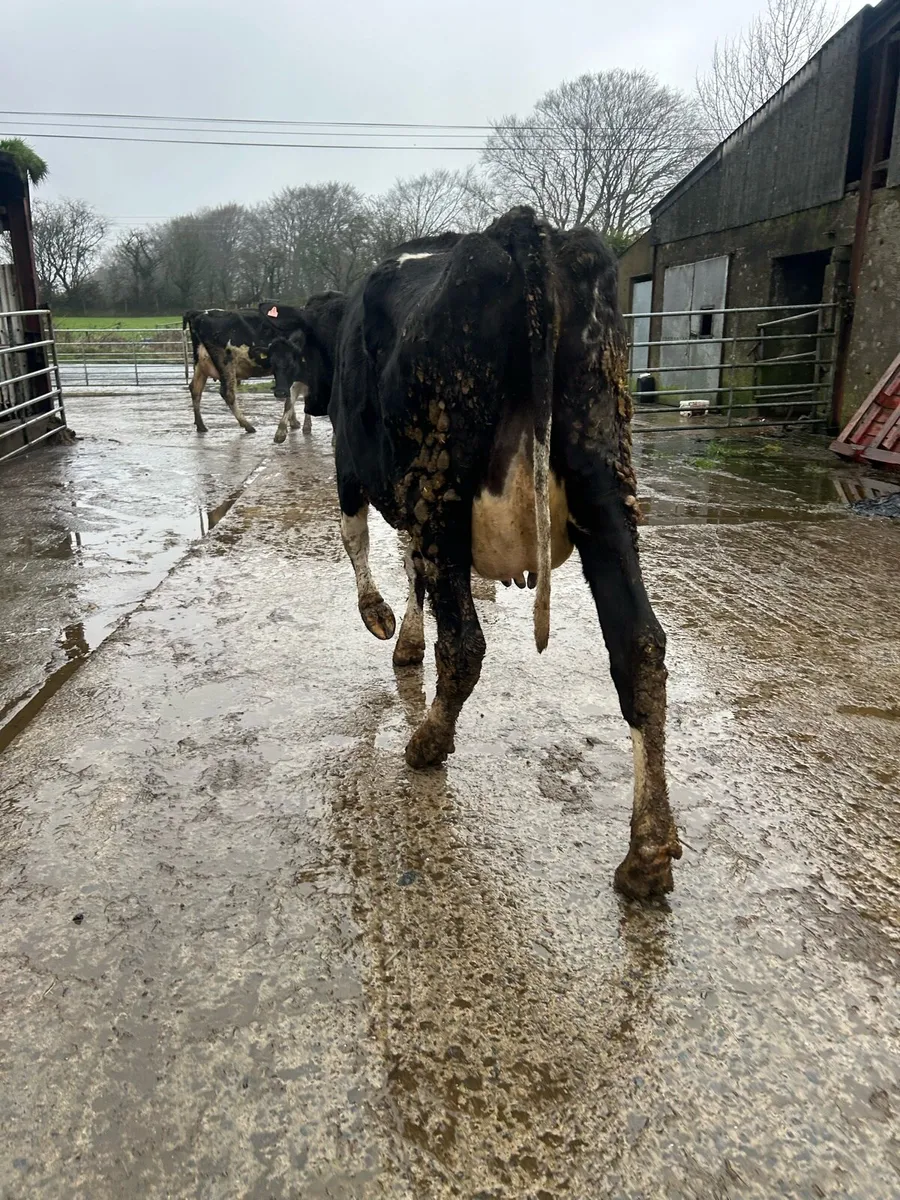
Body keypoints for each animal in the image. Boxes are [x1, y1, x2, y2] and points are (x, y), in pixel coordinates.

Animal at [328, 207, 681, 900]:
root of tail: (522, 230)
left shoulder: (352, 464)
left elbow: (363, 543)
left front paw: (381, 621)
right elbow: (412, 568)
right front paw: (404, 637)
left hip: (441, 481)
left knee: (465, 642)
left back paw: (428, 742)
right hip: (603, 472)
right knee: (640, 646)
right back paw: (648, 852)